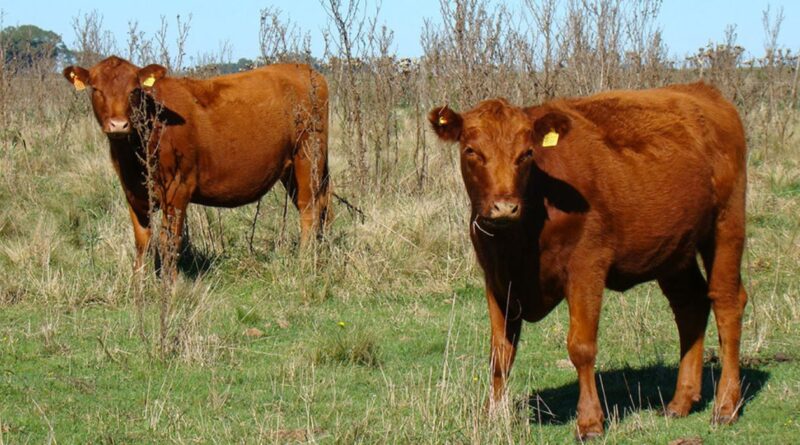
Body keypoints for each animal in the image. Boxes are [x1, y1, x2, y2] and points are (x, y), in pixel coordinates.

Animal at [61, 57, 332, 272]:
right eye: (96, 89)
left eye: (134, 90)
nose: (118, 124)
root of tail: (306, 70)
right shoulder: (134, 194)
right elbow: (142, 242)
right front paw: (139, 287)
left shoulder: (178, 190)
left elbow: (169, 242)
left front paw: (169, 288)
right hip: (292, 168)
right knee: (321, 206)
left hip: (308, 155)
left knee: (309, 208)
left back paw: (305, 262)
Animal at [432, 81, 752, 438]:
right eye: (471, 151)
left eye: (527, 154)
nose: (504, 207)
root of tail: (702, 90)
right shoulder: (498, 279)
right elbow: (500, 353)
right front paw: (493, 418)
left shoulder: (586, 266)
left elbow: (581, 347)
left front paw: (589, 422)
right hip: (674, 249)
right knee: (691, 306)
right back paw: (680, 402)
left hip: (726, 224)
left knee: (726, 302)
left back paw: (725, 405)